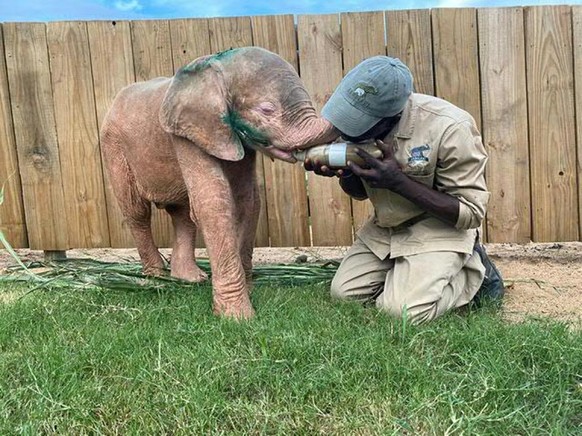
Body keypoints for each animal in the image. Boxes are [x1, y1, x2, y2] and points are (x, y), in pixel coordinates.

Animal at [99, 46, 338, 320]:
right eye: (266, 110)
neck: (215, 67)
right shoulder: (188, 133)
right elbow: (214, 201)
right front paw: (237, 317)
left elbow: (248, 200)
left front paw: (247, 291)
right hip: (113, 147)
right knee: (137, 212)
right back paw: (157, 279)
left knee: (182, 214)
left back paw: (190, 279)